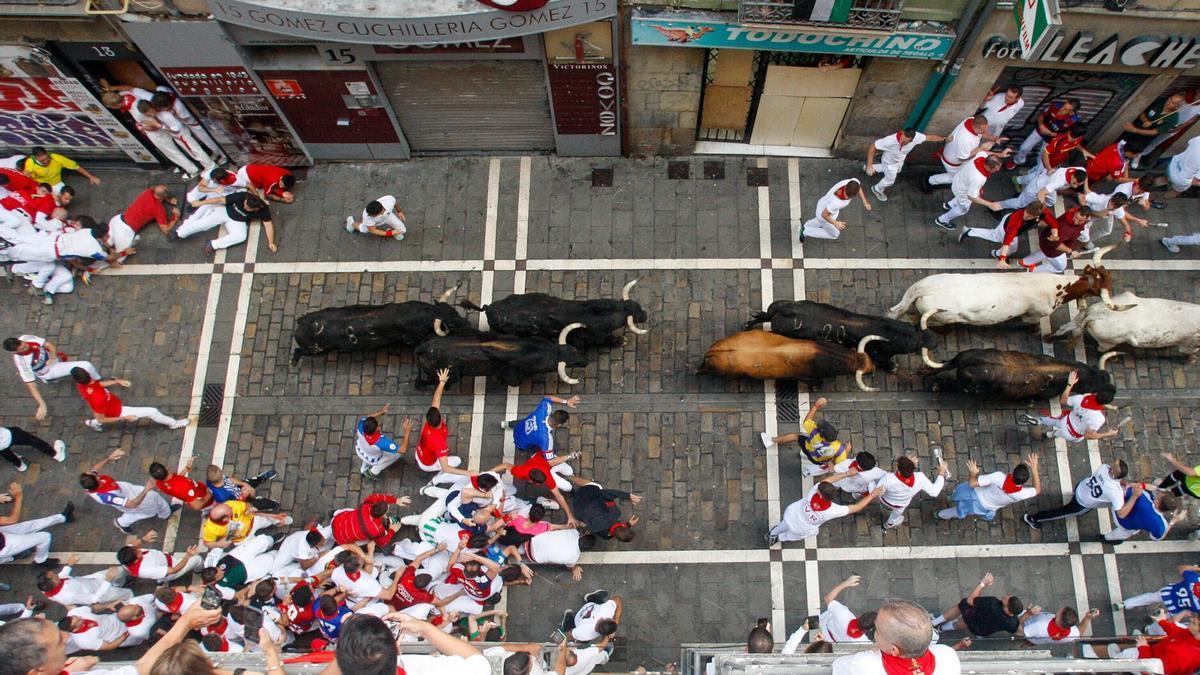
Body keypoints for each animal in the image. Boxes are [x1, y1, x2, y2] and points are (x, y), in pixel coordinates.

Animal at [744, 299, 931, 369]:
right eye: (915, 345)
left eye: (915, 329)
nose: (932, 338)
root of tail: (786, 309)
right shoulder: (878, 354)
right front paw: (892, 366)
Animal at [1046, 294, 1200, 357]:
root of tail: (1096, 315)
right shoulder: (1189, 344)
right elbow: (1189, 352)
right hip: (1109, 342)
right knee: (1100, 349)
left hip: (1080, 317)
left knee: (1063, 328)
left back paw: (1049, 338)